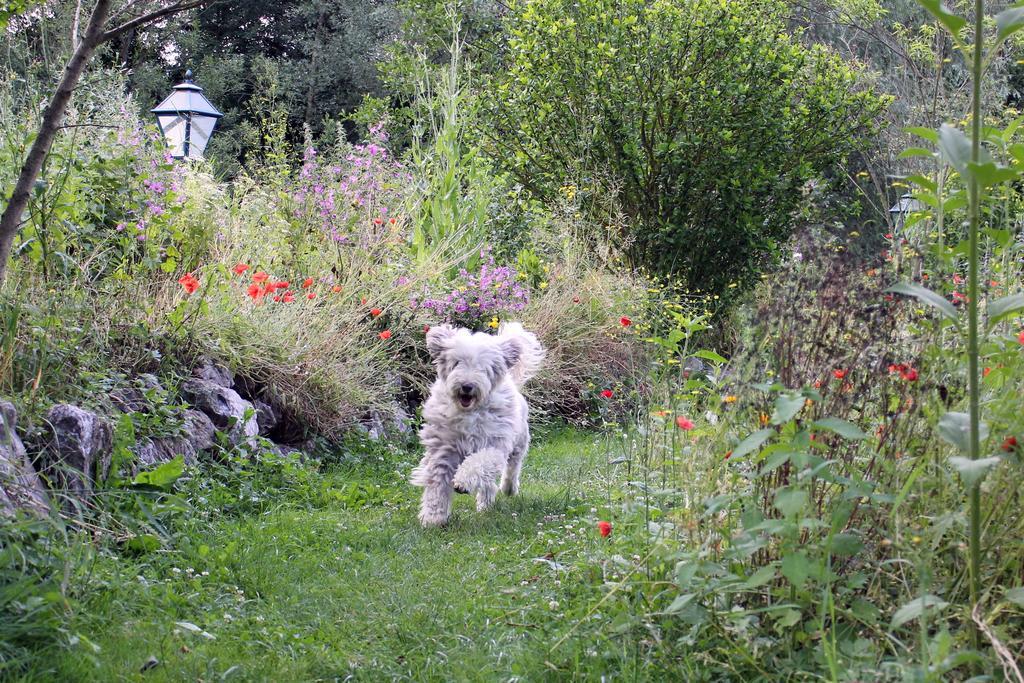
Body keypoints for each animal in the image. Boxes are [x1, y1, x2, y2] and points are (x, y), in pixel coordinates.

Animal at [407, 321, 544, 528]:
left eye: (484, 368)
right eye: (457, 363)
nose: (467, 386)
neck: (469, 412)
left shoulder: (494, 445)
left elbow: (479, 463)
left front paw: (462, 482)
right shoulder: (443, 450)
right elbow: (437, 485)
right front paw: (433, 518)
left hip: (519, 443)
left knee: (512, 468)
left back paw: (508, 488)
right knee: (488, 484)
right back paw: (485, 506)